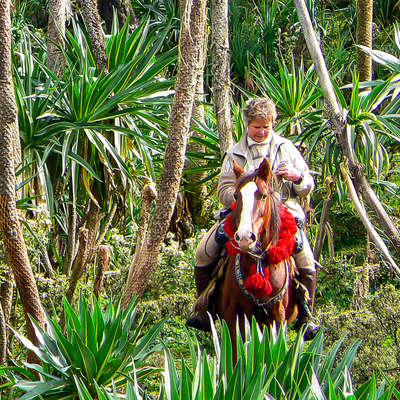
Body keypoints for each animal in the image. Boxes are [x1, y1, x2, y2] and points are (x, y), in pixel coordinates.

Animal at [209, 158, 300, 358]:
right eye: (236, 196)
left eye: (264, 195)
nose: (244, 237)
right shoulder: (233, 316)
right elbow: (235, 355)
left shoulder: (277, 317)